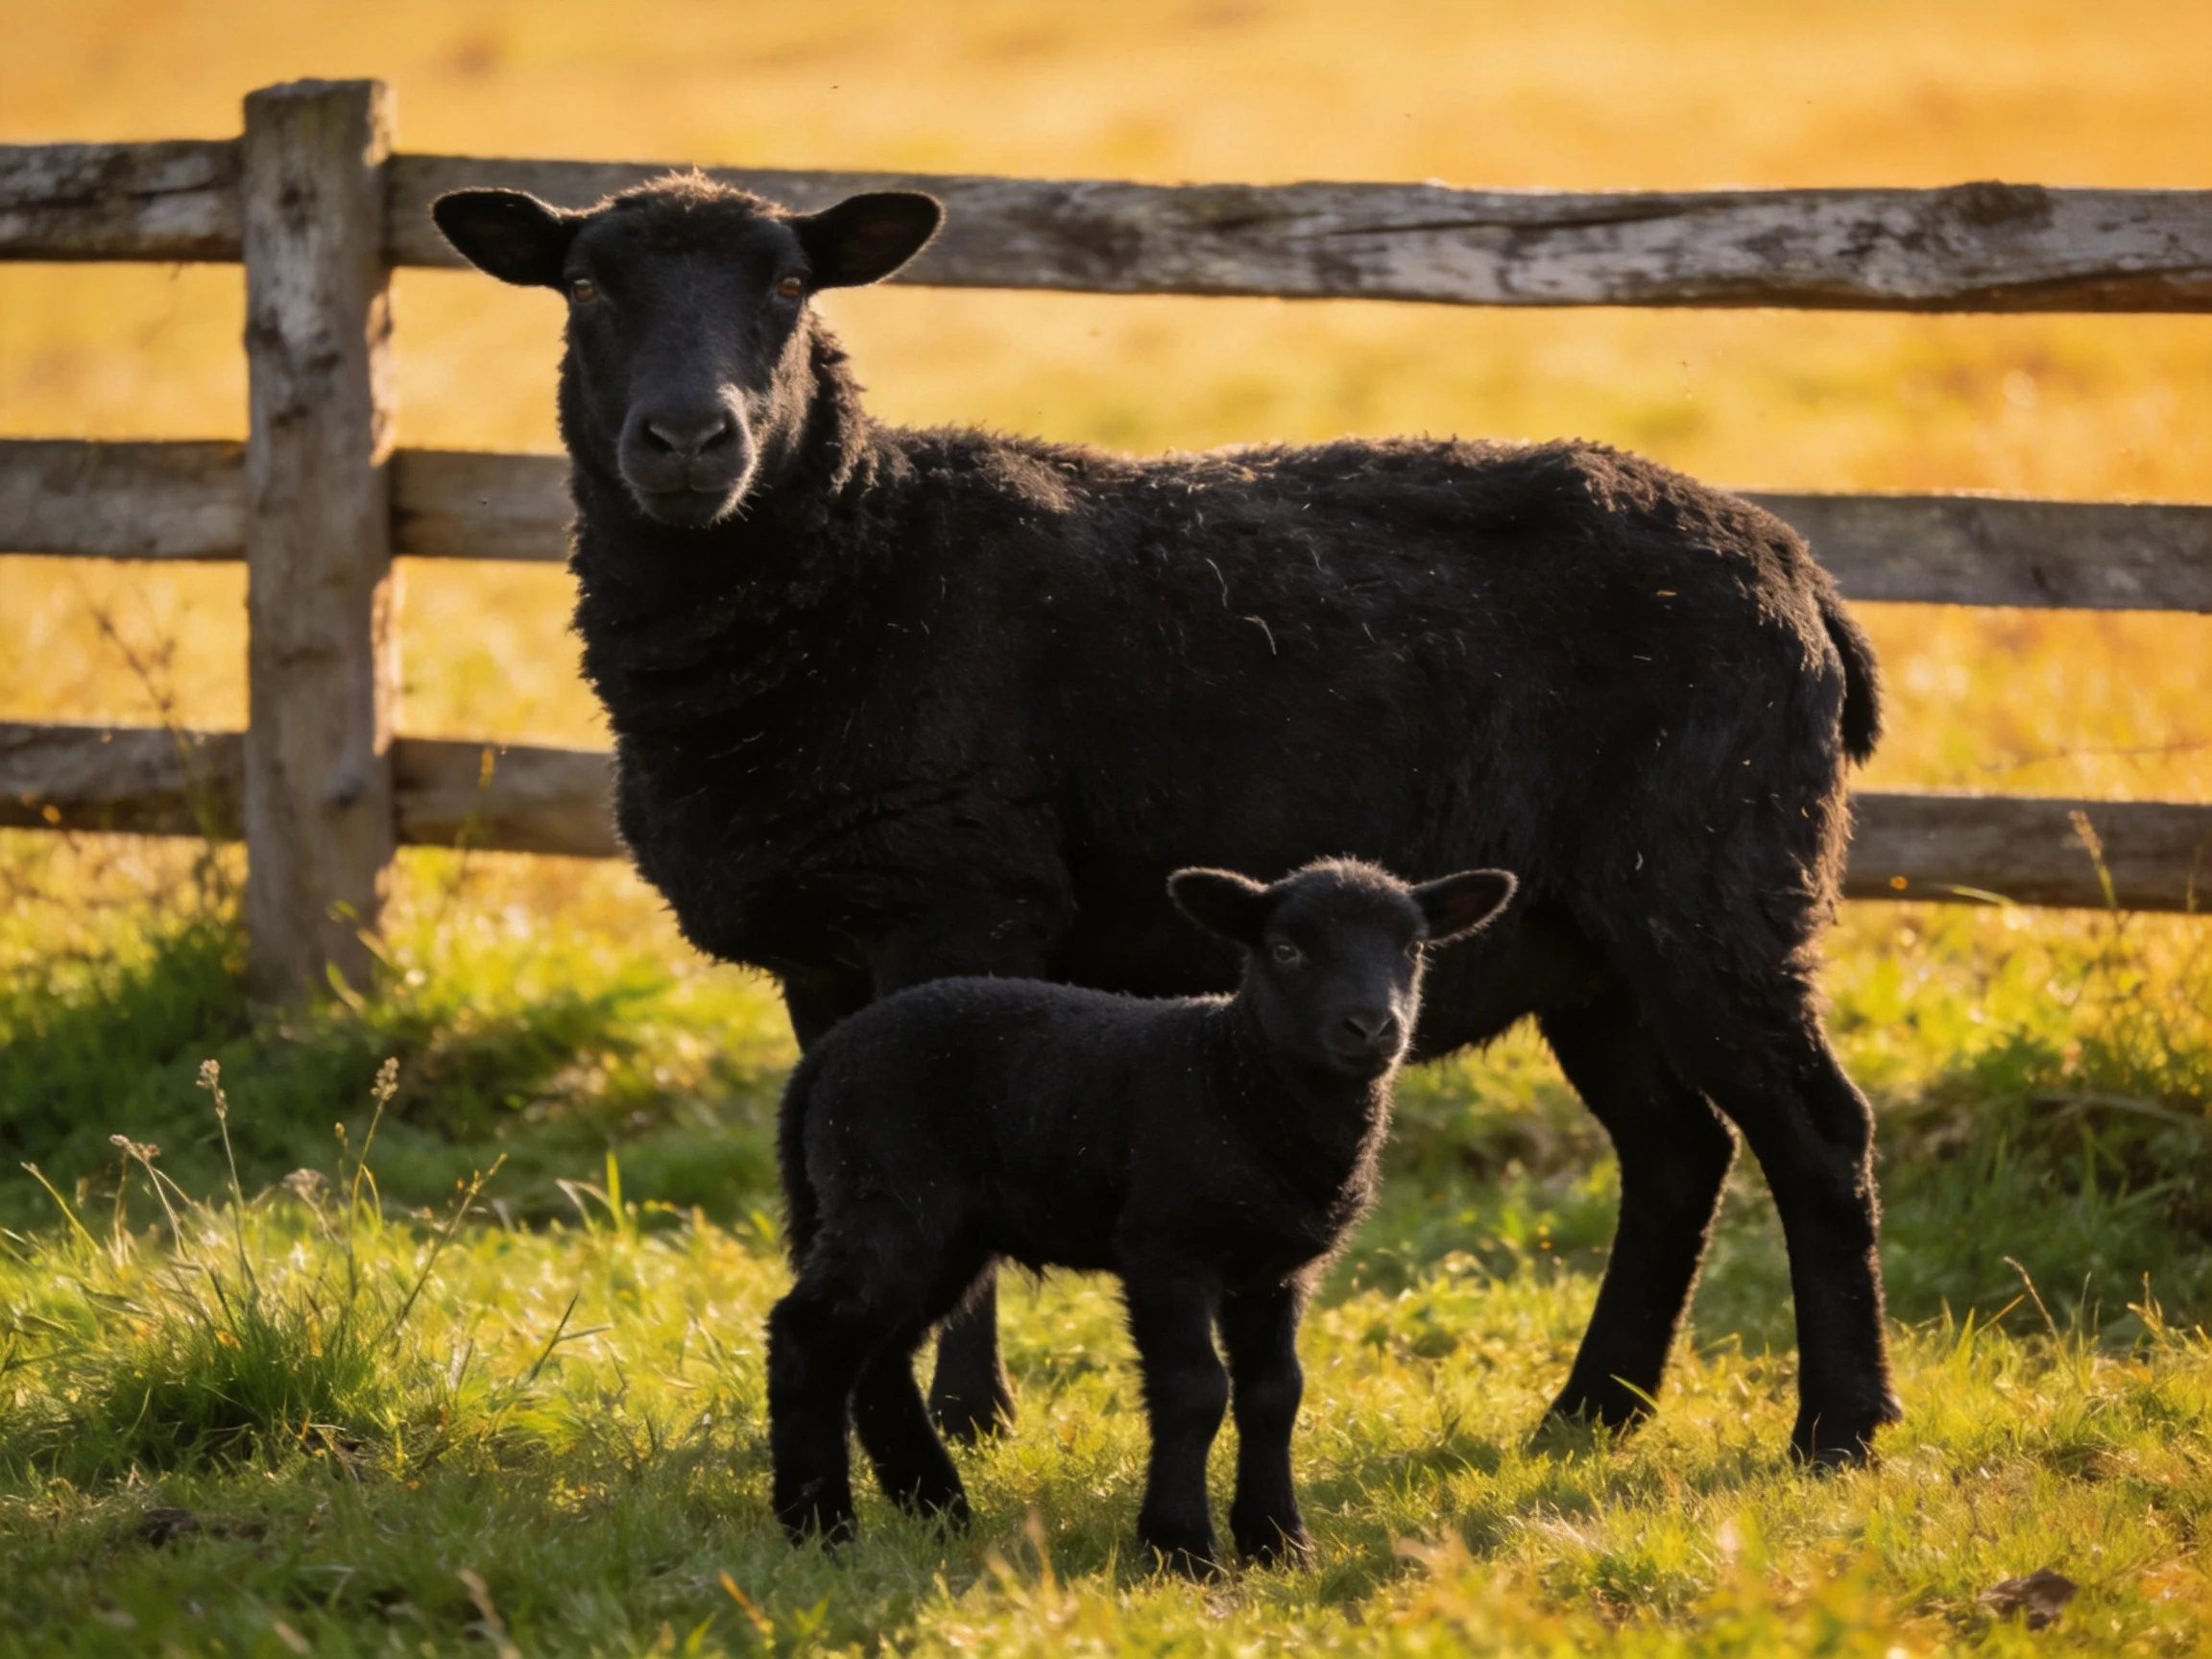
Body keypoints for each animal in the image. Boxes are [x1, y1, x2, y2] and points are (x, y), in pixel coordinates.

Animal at [430, 174, 1903, 1465]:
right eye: (584, 284)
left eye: (790, 285)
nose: (690, 442)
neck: (857, 562)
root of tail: (1803, 574)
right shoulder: (823, 948)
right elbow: (847, 1164)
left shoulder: (961, 901)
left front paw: (970, 1419)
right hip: (1584, 943)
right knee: (1677, 1153)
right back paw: (1592, 1412)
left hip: (1714, 883)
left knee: (1816, 1138)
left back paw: (1838, 1428)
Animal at [769, 858, 1516, 1571]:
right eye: (1285, 950)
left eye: (1414, 948)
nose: (1372, 1026)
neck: (1235, 1079)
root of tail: (825, 1056)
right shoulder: (1165, 1249)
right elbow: (1194, 1390)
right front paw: (1181, 1548)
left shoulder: (1274, 1269)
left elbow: (1275, 1393)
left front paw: (1279, 1543)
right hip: (889, 1201)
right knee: (810, 1335)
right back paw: (820, 1526)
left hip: (944, 1233)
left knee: (877, 1353)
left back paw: (936, 1510)